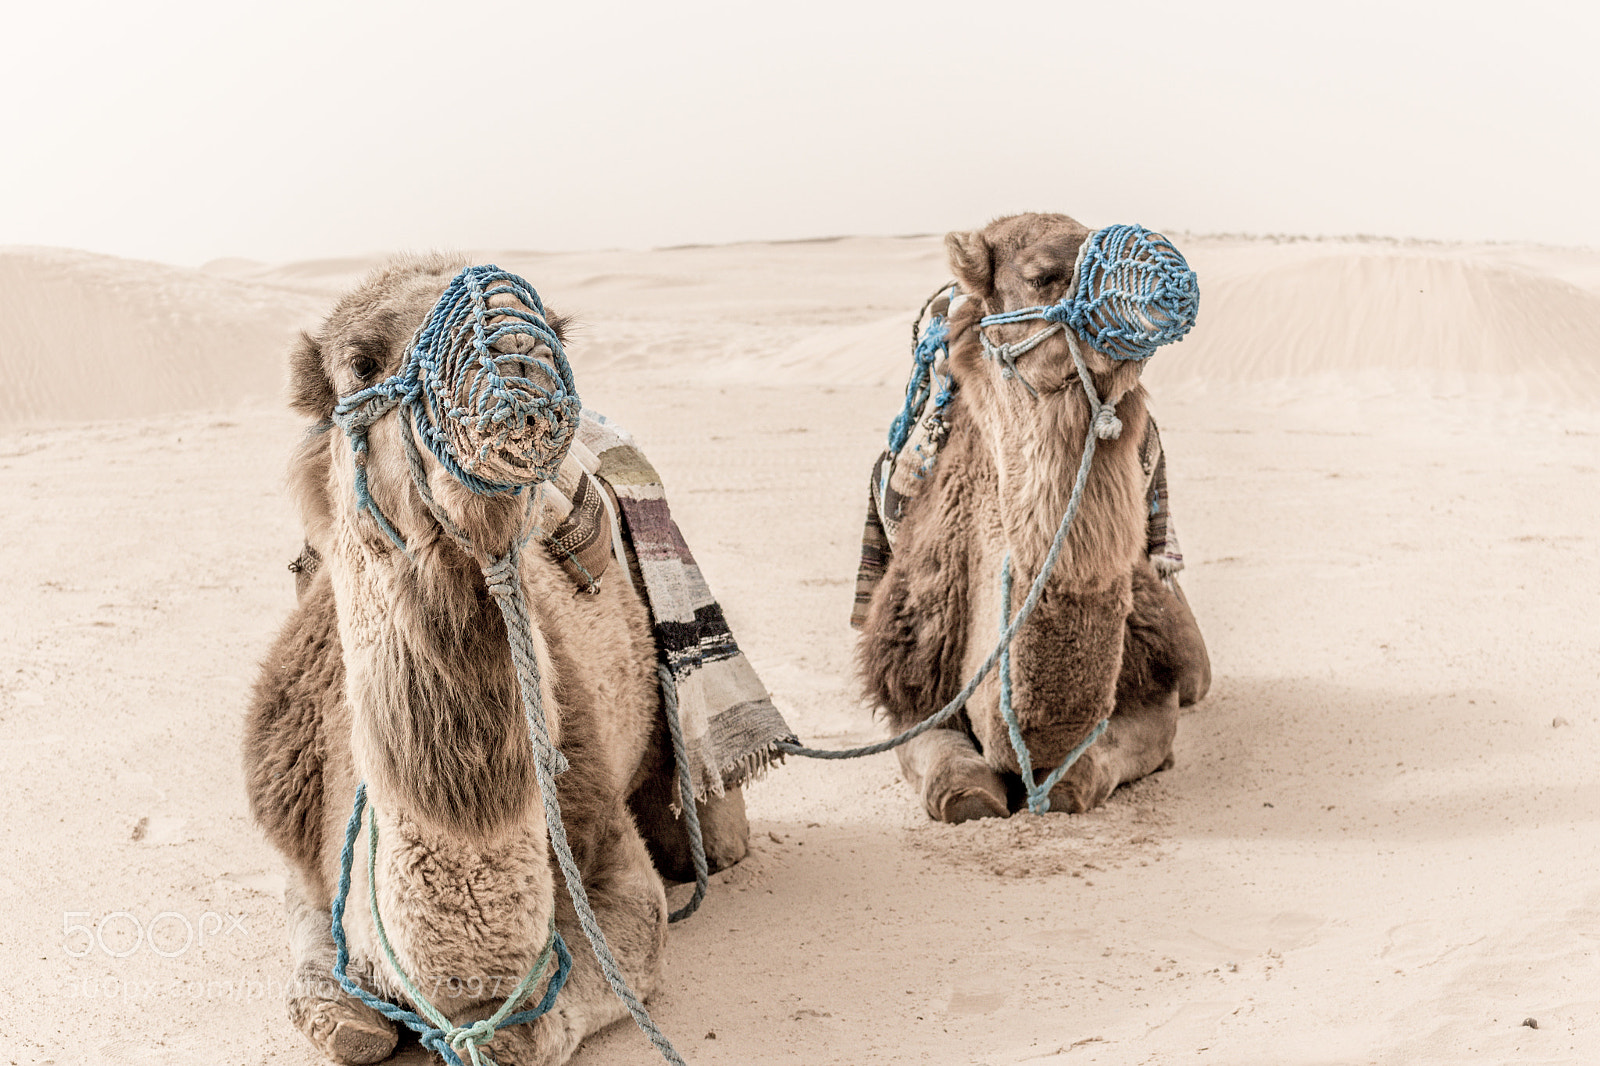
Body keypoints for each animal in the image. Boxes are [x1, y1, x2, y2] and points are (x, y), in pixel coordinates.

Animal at [243, 255, 747, 1065]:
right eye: (360, 362)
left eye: (558, 329)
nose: (516, 352)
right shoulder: (299, 854)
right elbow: (341, 1012)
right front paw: (347, 1006)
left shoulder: (612, 864)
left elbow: (530, 1026)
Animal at [856, 213, 1211, 823]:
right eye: (1044, 275)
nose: (1174, 283)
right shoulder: (911, 679)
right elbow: (956, 786)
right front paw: (975, 790)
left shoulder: (1156, 687)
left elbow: (1083, 776)